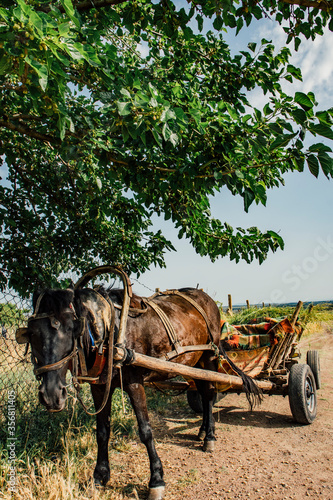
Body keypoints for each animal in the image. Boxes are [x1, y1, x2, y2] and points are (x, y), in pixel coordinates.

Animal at [15, 276, 260, 498]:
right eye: (32, 333)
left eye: (70, 329)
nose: (51, 396)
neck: (110, 331)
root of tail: (204, 297)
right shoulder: (100, 387)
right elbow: (102, 432)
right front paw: (100, 475)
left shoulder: (134, 383)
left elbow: (145, 431)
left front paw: (156, 479)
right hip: (194, 362)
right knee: (201, 390)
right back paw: (202, 430)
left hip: (209, 355)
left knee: (208, 393)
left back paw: (209, 436)